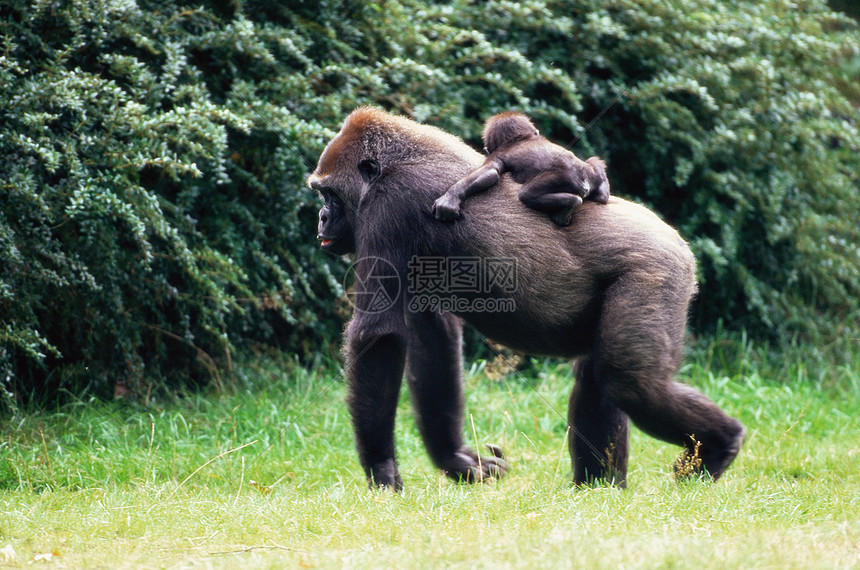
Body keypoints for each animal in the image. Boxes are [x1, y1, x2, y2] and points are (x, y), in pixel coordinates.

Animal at [434, 110, 608, 225]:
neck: (521, 138)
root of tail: (585, 182)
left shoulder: (497, 155)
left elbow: (490, 172)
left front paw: (451, 197)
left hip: (563, 179)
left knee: (527, 194)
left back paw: (571, 205)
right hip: (591, 173)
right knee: (596, 166)